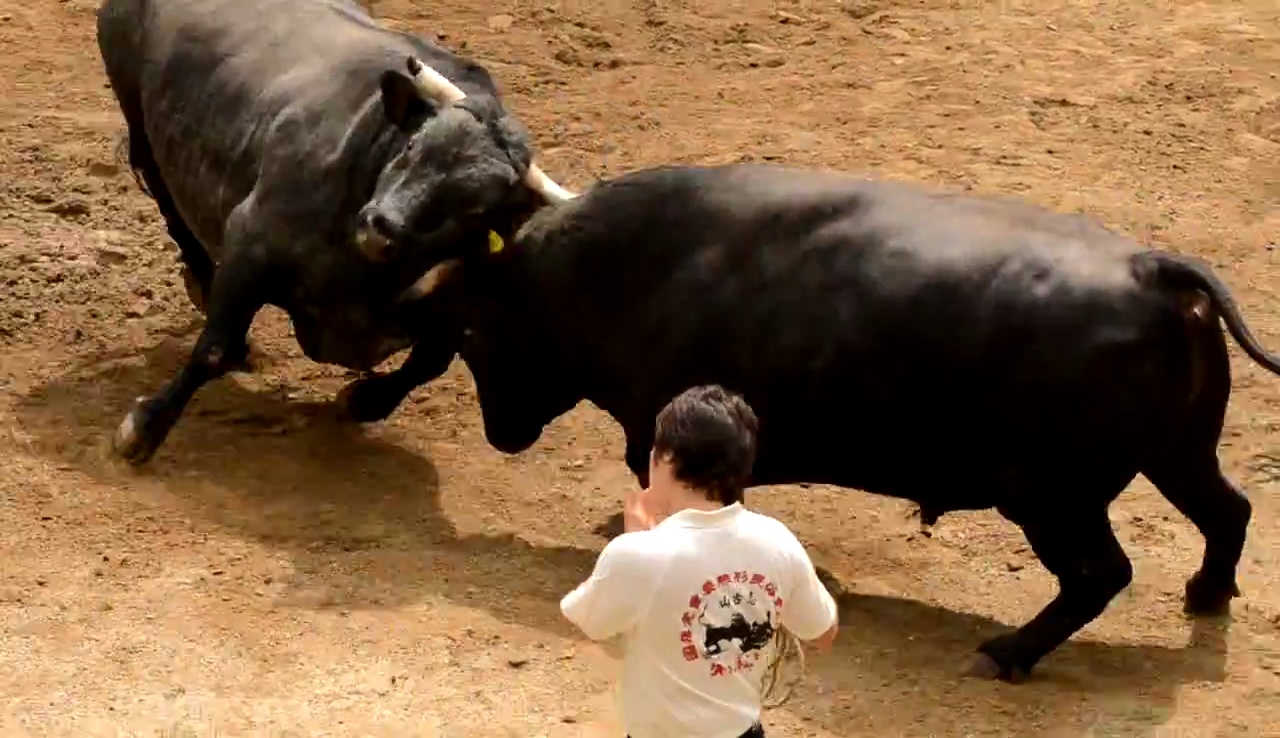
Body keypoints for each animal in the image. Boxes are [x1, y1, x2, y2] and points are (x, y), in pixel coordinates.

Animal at [95, 0, 575, 465]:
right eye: (413, 146)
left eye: (476, 208)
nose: (380, 226)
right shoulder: (249, 240)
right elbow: (214, 348)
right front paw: (144, 427)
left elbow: (430, 363)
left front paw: (365, 400)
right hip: (136, 113)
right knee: (167, 200)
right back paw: (202, 282)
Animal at [407, 162, 1279, 682]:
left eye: (473, 333)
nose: (500, 433)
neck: (618, 271)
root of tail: (1152, 268)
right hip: (1177, 455)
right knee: (1226, 511)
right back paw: (1207, 594)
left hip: (1053, 500)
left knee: (1101, 573)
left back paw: (1008, 652)